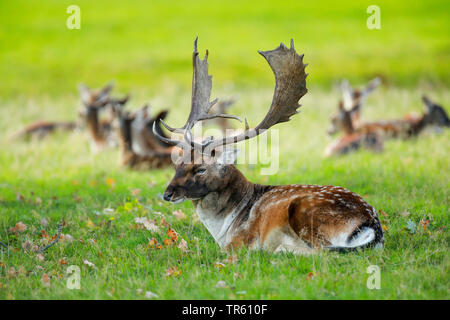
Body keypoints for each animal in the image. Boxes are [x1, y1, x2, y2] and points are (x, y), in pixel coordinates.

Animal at [152, 38, 384, 254]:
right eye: (177, 165)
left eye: (200, 168)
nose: (167, 194)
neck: (224, 228)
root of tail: (372, 225)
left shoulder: (239, 241)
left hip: (304, 211)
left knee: (322, 251)